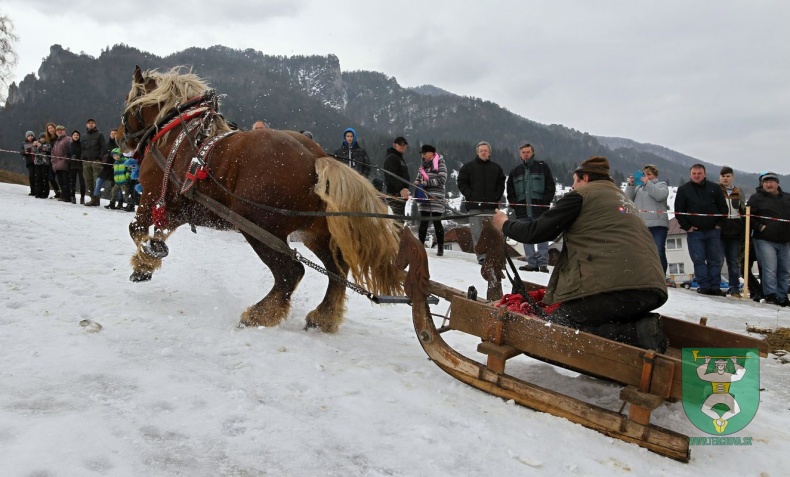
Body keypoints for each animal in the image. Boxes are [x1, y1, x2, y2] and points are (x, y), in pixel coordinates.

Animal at [120, 66, 406, 330]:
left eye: (129, 102)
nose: (123, 139)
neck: (176, 135)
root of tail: (315, 158)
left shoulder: (150, 198)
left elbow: (136, 229)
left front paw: (146, 256)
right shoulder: (177, 209)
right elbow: (159, 233)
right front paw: (146, 262)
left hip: (259, 226)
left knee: (291, 272)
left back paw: (261, 313)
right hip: (314, 233)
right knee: (337, 270)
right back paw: (323, 317)